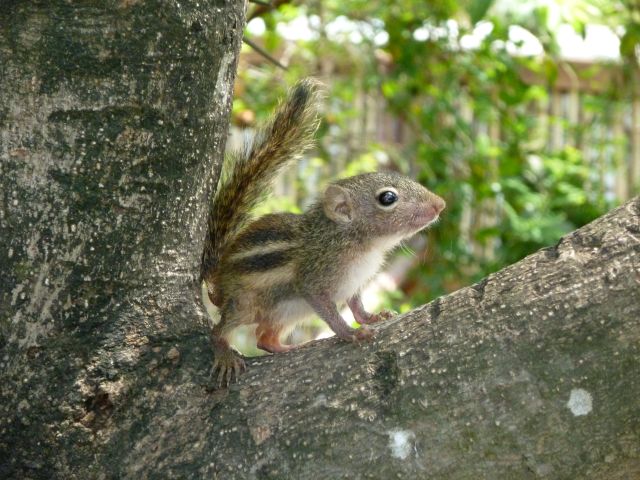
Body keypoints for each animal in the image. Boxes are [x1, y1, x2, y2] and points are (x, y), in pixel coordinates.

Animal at [200, 79, 444, 386]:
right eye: (388, 198)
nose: (440, 204)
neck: (364, 245)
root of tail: (218, 280)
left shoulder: (355, 283)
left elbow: (356, 305)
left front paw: (372, 317)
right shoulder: (314, 281)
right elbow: (330, 311)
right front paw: (350, 333)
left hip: (285, 315)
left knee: (264, 339)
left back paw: (291, 347)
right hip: (245, 304)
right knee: (220, 331)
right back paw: (225, 355)